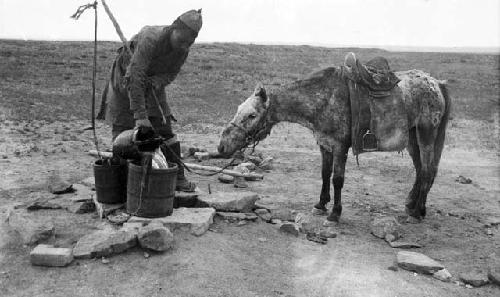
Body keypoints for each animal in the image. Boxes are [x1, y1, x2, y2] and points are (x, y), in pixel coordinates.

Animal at [217, 59, 452, 222]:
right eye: (239, 109)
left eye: (252, 115)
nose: (222, 146)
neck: (323, 100)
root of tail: (436, 83)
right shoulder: (325, 145)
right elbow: (324, 174)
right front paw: (321, 204)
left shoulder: (340, 147)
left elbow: (337, 179)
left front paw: (335, 213)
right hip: (413, 138)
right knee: (421, 170)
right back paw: (412, 205)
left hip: (426, 134)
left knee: (428, 171)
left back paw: (417, 212)